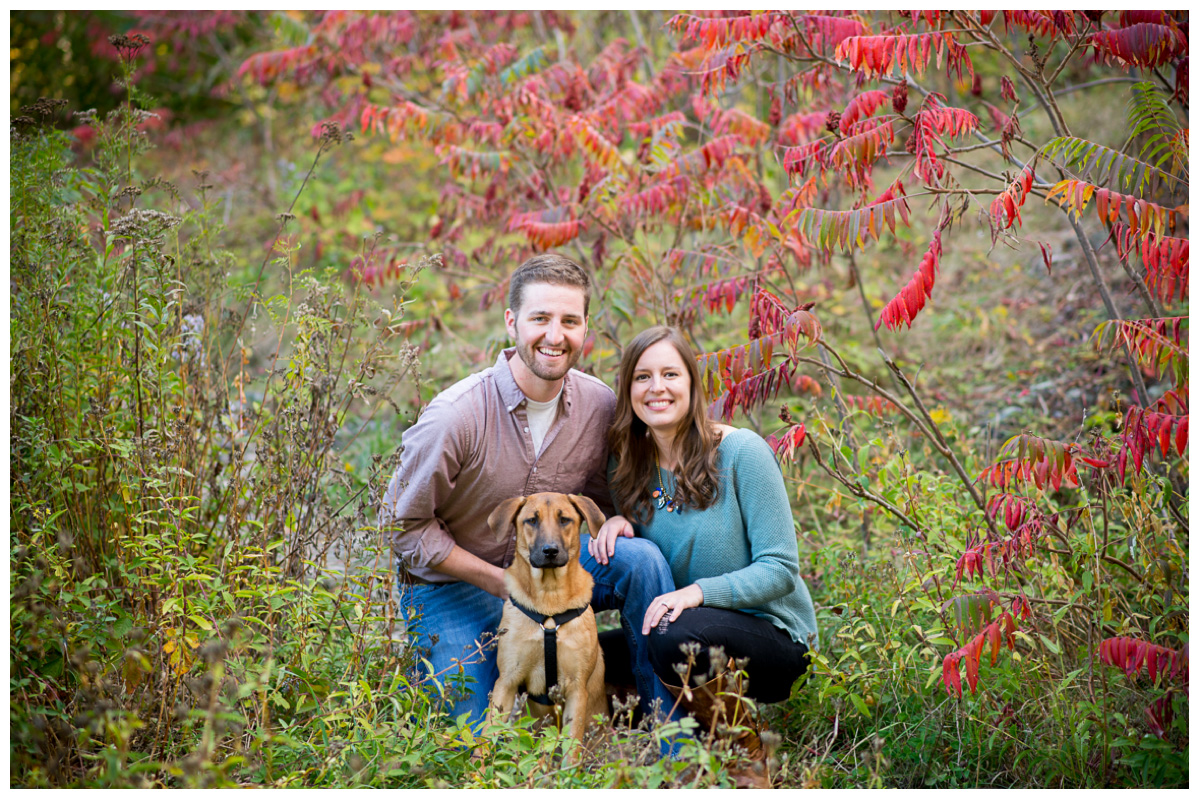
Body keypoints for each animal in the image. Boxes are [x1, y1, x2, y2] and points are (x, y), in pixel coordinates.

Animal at [482, 494, 604, 753]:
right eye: (532, 520)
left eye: (564, 519)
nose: (550, 551)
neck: (549, 602)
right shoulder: (506, 681)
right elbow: (487, 734)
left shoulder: (577, 689)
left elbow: (571, 747)